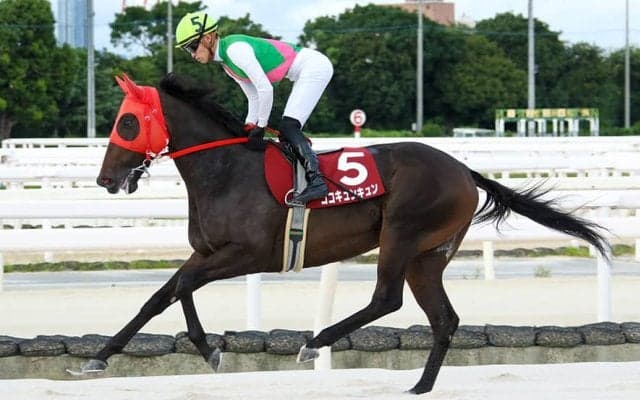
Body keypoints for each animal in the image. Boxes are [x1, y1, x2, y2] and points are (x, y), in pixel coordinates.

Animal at [91, 72, 610, 394]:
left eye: (127, 122)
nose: (106, 179)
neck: (226, 170)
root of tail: (464, 170)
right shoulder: (208, 253)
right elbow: (161, 296)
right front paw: (100, 356)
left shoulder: (245, 254)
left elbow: (180, 287)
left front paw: (207, 348)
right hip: (428, 255)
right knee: (443, 318)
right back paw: (419, 387)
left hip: (402, 234)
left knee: (387, 298)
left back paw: (314, 342)